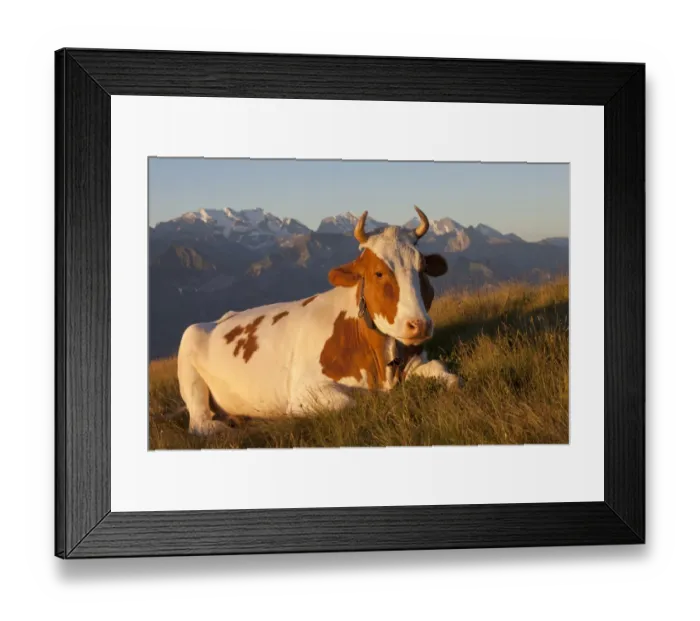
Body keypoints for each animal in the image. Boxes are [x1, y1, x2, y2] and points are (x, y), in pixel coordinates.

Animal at [177, 206, 461, 435]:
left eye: (423, 268)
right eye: (378, 273)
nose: (419, 324)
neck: (381, 366)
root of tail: (220, 318)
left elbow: (449, 376)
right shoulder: (304, 392)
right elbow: (354, 400)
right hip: (188, 356)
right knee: (200, 423)